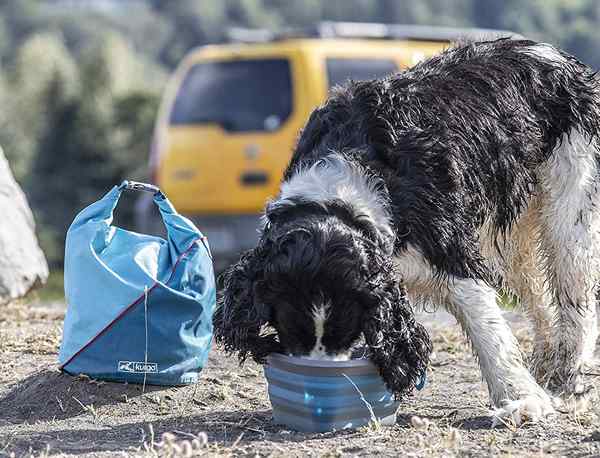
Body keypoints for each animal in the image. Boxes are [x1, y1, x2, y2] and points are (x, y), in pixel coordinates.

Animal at [213, 37, 596, 424]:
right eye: (292, 333)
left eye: (346, 331)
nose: (318, 380)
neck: (342, 191)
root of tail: (552, 53)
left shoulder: (451, 254)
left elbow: (488, 330)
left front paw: (521, 400)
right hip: (509, 233)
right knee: (539, 296)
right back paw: (547, 366)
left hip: (568, 206)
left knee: (575, 297)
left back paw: (566, 377)